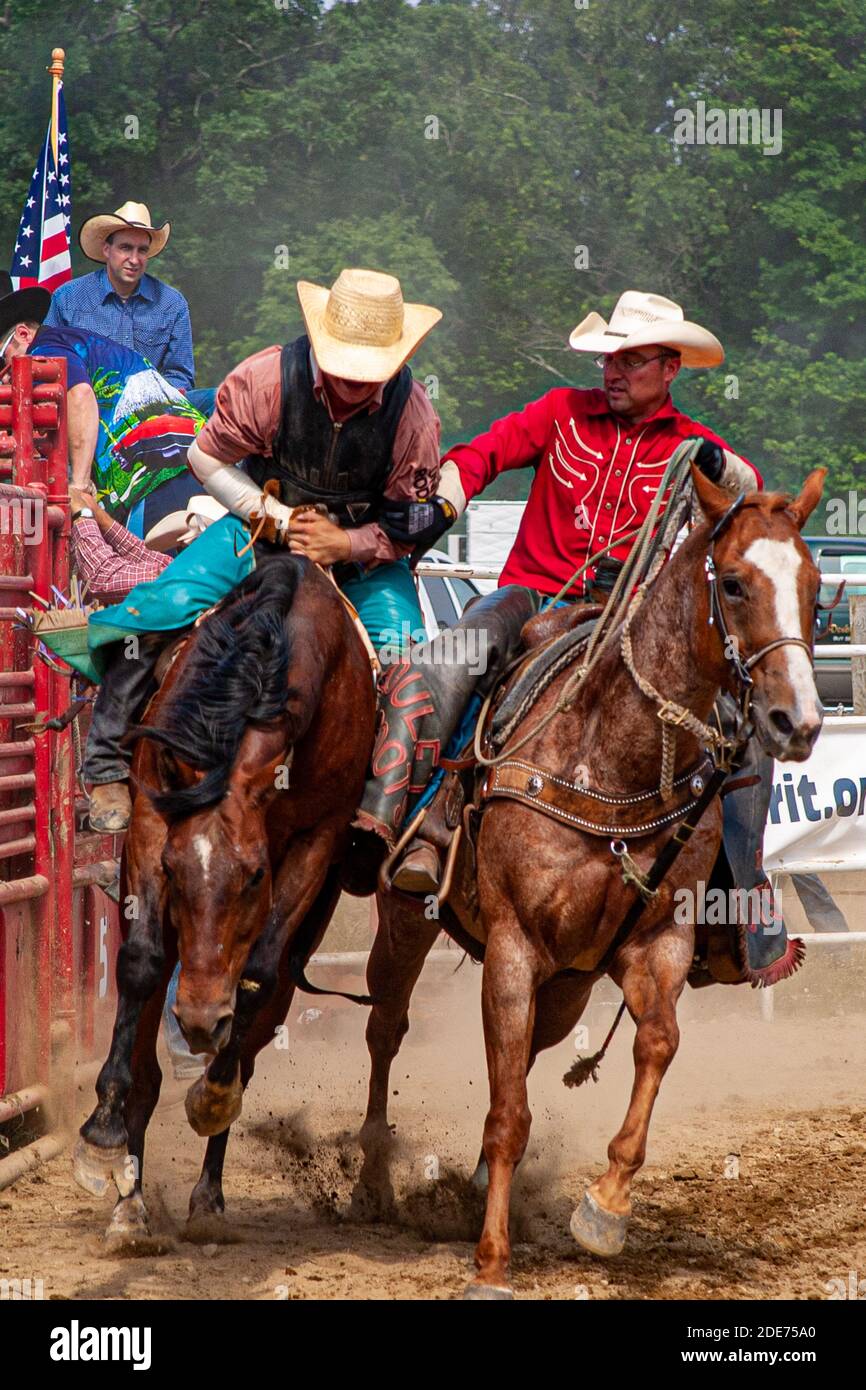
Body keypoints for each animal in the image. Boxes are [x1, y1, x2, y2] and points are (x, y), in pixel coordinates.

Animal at [71, 547, 375, 1245]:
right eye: (174, 870)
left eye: (256, 876)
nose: (201, 1020)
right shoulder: (152, 821)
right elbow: (140, 965)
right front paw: (101, 1136)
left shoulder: (317, 839)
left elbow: (256, 978)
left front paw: (211, 1100)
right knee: (150, 1062)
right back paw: (131, 1202)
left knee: (254, 1032)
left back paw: (207, 1196)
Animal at [358, 469, 828, 1301]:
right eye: (735, 583)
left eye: (813, 588)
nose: (795, 721)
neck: (611, 756)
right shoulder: (512, 948)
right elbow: (508, 1116)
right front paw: (491, 1263)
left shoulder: (656, 944)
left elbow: (656, 1045)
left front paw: (603, 1209)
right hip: (410, 918)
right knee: (387, 1025)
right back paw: (371, 1181)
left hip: (569, 983)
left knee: (525, 1054)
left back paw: (470, 1185)